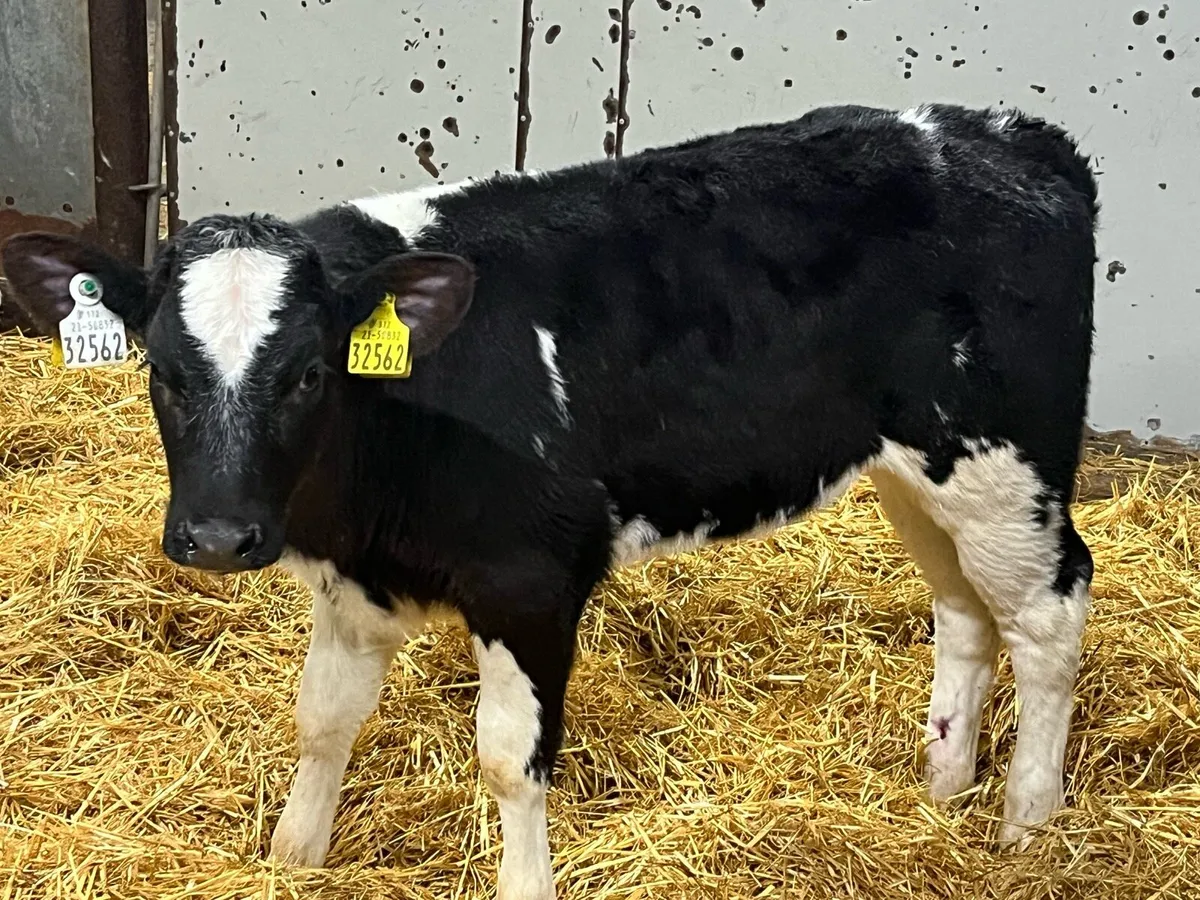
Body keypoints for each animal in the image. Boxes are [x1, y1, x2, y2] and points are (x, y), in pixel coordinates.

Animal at [2, 103, 1098, 899]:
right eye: (164, 372)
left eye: (309, 373)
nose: (221, 537)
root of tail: (1002, 132)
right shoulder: (358, 580)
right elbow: (321, 720)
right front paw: (291, 857)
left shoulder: (531, 577)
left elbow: (506, 761)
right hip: (917, 469)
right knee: (966, 610)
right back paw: (942, 792)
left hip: (1004, 460)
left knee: (1050, 610)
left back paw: (1030, 826)